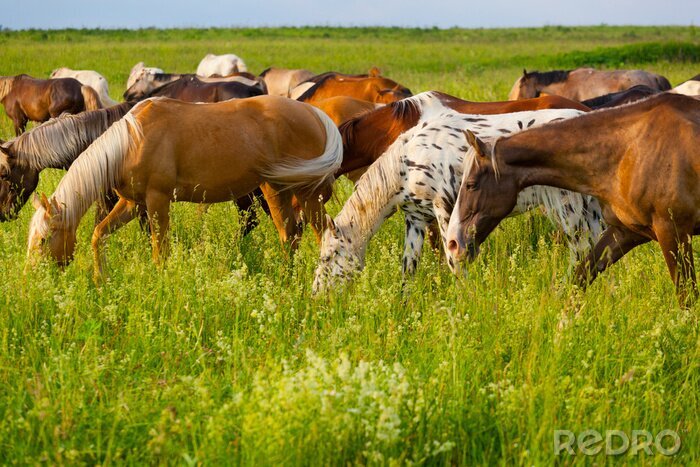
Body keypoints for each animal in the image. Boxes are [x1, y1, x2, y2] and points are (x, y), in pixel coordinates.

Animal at [26, 95, 342, 282]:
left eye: (43, 239)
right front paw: (100, 280)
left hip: (305, 193)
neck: (131, 141)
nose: (32, 277)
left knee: (321, 232)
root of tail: (315, 114)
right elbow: (98, 234)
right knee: (289, 235)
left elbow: (160, 251)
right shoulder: (132, 204)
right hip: (276, 189)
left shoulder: (157, 201)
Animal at [312, 93, 600, 294]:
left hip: (571, 209)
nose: (316, 295)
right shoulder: (416, 219)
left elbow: (452, 261)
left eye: (327, 257)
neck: (407, 160)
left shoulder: (444, 211)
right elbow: (408, 270)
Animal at [446, 93, 700, 308]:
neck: (629, 150)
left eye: (471, 184)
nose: (453, 243)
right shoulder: (627, 232)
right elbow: (578, 280)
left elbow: (687, 299)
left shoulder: (673, 233)